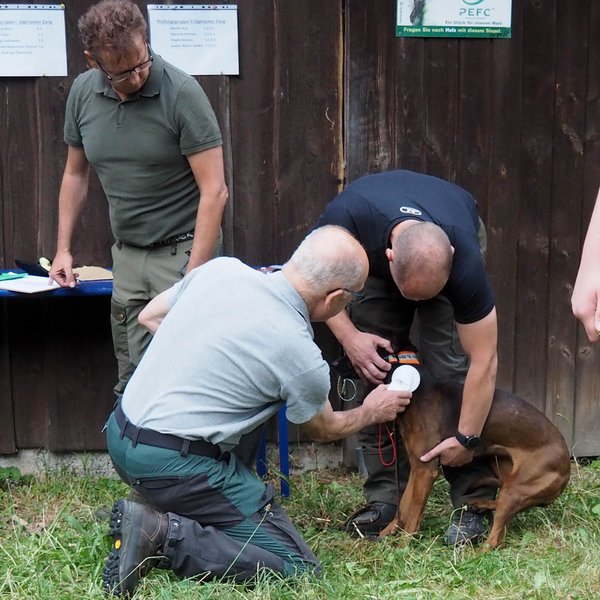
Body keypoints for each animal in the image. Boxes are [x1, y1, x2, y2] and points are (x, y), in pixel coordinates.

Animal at [378, 365, 571, 547]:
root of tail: (567, 468)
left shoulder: (426, 471)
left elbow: (413, 515)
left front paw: (403, 545)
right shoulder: (418, 466)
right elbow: (403, 504)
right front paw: (386, 533)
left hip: (516, 488)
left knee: (495, 542)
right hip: (502, 469)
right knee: (499, 508)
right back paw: (478, 504)